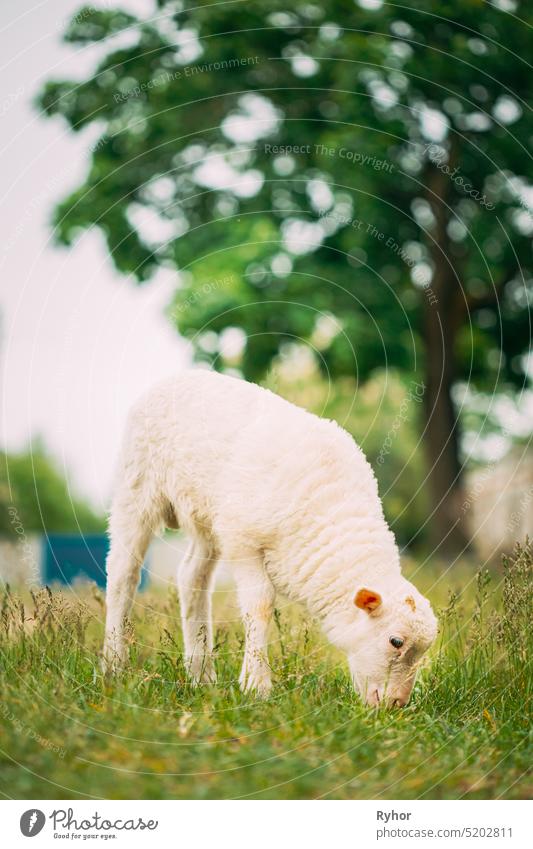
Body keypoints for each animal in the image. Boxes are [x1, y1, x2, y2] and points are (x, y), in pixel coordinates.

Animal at [104, 368, 436, 704]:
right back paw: (114, 666)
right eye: (396, 641)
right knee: (122, 572)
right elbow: (260, 605)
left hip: (206, 516)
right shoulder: (244, 541)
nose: (396, 704)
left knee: (191, 577)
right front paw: (256, 685)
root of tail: (171, 378)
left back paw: (201, 675)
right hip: (137, 487)